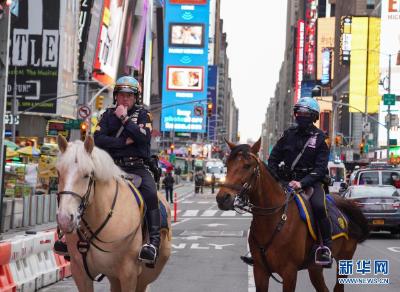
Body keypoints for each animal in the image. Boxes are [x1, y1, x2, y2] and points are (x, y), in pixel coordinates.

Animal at [55, 136, 170, 292]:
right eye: (58, 173)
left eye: (86, 175)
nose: (65, 219)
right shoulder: (80, 272)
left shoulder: (129, 273)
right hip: (114, 276)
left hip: (146, 274)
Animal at [216, 140, 368, 292]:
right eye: (227, 164)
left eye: (247, 166)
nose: (222, 198)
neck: (274, 220)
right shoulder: (260, 271)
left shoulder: (289, 272)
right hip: (315, 268)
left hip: (344, 260)